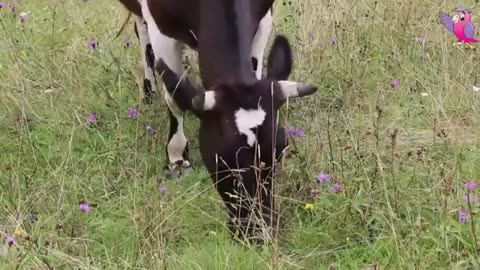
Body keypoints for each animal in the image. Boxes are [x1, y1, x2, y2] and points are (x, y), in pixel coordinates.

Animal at [116, 0, 274, 179]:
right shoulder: (160, 29)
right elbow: (174, 96)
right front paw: (177, 156)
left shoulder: (263, 20)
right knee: (143, 36)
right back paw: (149, 92)